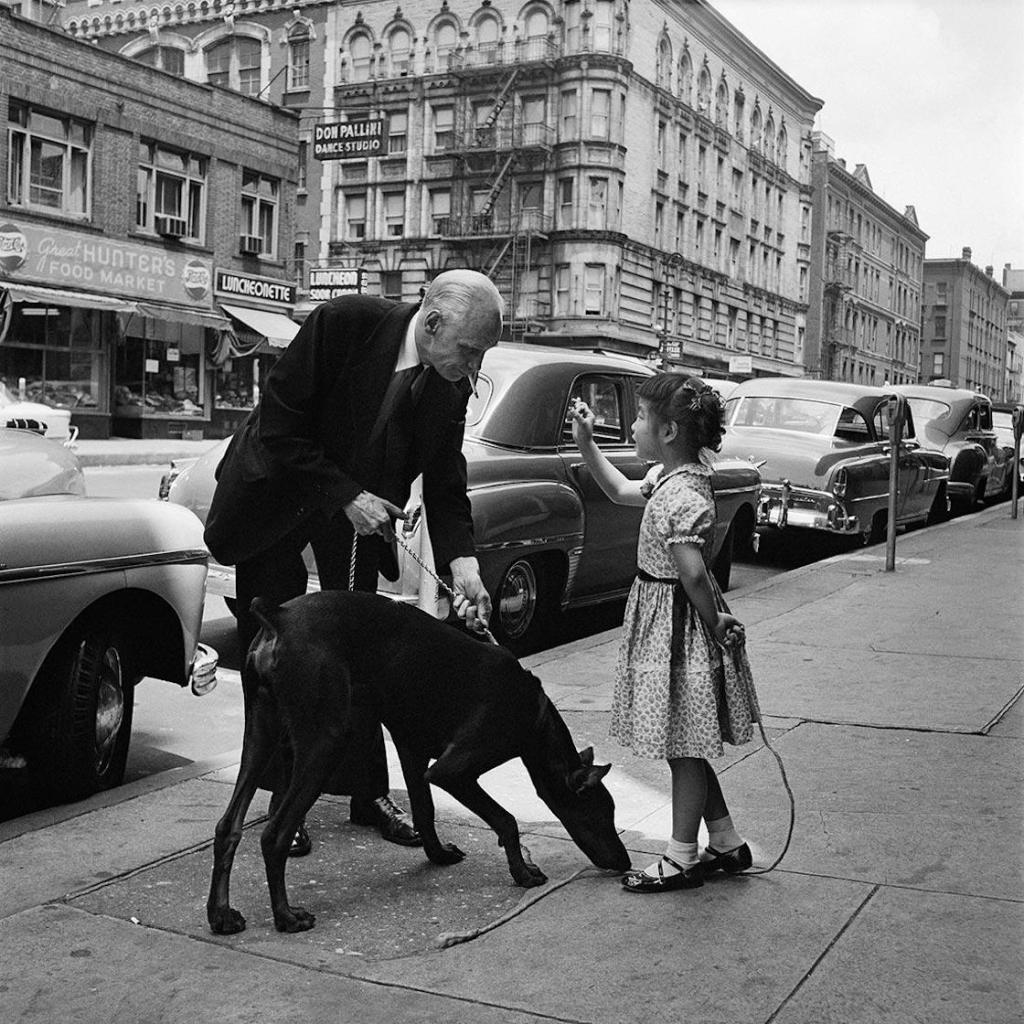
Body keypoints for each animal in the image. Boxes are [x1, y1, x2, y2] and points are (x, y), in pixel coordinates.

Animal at [203, 589, 626, 933]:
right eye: (602, 814)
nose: (624, 864)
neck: (533, 715)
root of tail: (278, 616)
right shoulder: (453, 771)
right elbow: (505, 820)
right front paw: (523, 871)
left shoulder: (412, 750)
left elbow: (425, 810)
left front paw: (437, 855)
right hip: (324, 740)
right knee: (274, 835)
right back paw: (287, 916)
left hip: (261, 732)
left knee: (228, 826)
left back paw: (221, 915)